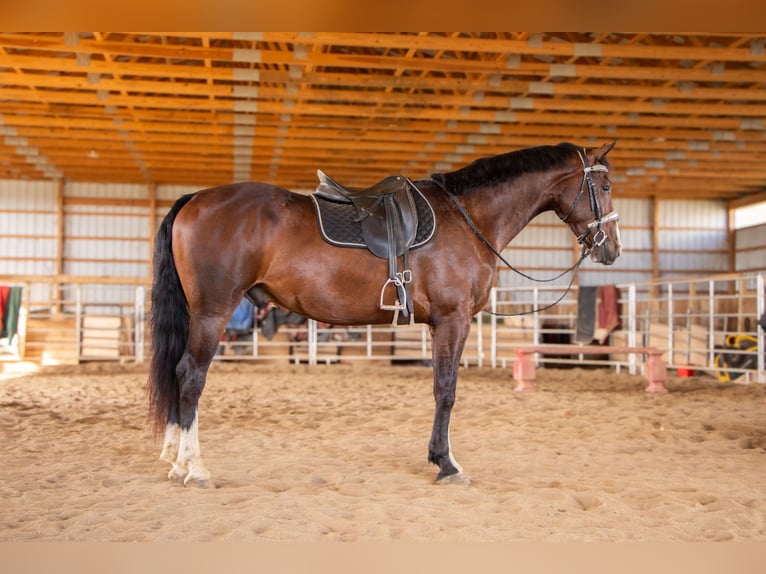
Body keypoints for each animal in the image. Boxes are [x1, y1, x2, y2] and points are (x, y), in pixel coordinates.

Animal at [147, 140, 620, 486]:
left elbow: (439, 386)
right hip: (212, 312)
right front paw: (446, 464)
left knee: (176, 372)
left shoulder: (439, 325)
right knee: (191, 375)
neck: (468, 218)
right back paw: (195, 467)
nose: (611, 248)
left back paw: (174, 459)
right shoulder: (453, 319)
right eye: (606, 186)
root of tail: (195, 199)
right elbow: (446, 390)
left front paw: (440, 456)